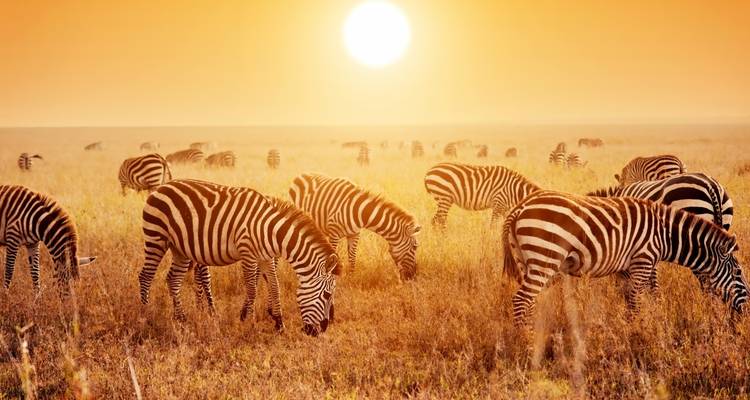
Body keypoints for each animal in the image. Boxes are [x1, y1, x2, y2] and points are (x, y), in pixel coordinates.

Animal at [139, 179, 339, 336]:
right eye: (327, 295)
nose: (321, 330)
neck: (270, 230)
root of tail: (161, 187)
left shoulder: (266, 257)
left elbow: (275, 286)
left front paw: (279, 324)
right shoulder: (248, 253)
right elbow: (251, 289)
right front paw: (249, 324)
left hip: (179, 249)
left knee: (173, 279)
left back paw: (181, 319)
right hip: (156, 237)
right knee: (146, 276)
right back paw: (145, 317)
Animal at [289, 173, 421, 280]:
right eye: (415, 247)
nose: (413, 276)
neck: (360, 212)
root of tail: (301, 174)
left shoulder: (354, 234)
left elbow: (352, 258)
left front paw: (351, 277)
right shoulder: (334, 234)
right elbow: (334, 257)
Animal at [502, 191, 748, 326]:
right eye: (738, 273)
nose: (745, 313)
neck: (664, 234)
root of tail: (520, 206)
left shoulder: (626, 267)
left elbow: (631, 298)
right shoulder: (644, 259)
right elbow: (637, 300)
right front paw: (638, 333)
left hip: (526, 260)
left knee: (529, 301)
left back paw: (532, 334)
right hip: (544, 256)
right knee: (521, 300)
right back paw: (525, 341)